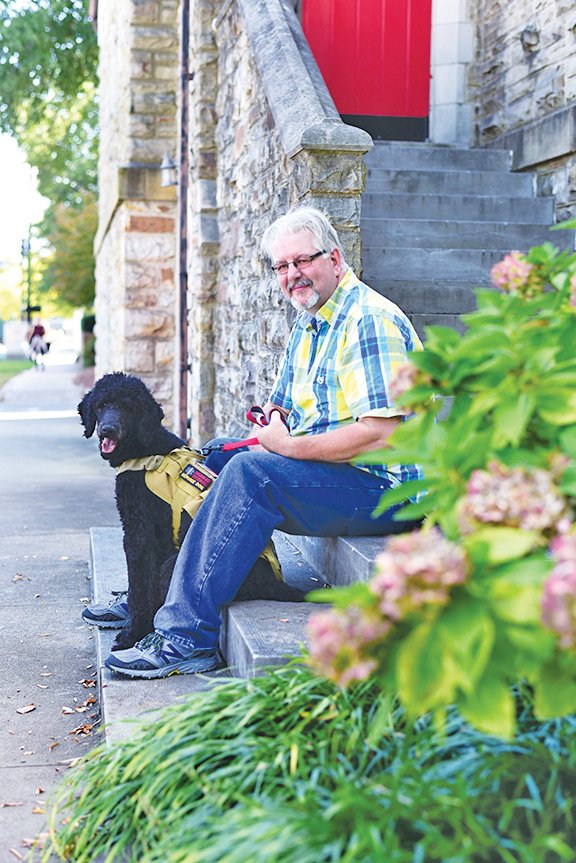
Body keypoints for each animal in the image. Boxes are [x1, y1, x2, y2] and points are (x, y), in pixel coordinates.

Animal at [80, 372, 306, 648]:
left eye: (128, 407)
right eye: (101, 405)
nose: (108, 430)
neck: (147, 450)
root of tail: (275, 582)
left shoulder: (139, 535)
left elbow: (139, 588)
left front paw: (134, 633)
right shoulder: (158, 541)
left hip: (173, 567)